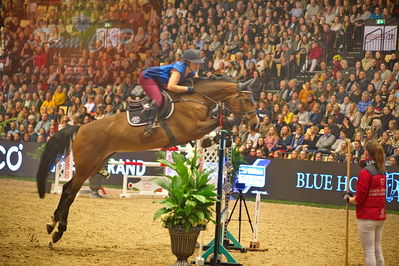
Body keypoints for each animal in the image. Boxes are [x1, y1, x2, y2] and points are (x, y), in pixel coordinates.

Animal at [36, 77, 258, 243]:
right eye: (248, 100)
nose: (255, 124)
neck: (195, 99)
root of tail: (80, 127)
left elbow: (219, 123)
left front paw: (211, 139)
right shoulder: (191, 129)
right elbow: (221, 121)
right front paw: (213, 135)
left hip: (95, 163)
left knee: (68, 189)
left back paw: (52, 225)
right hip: (86, 165)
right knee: (69, 192)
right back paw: (57, 230)